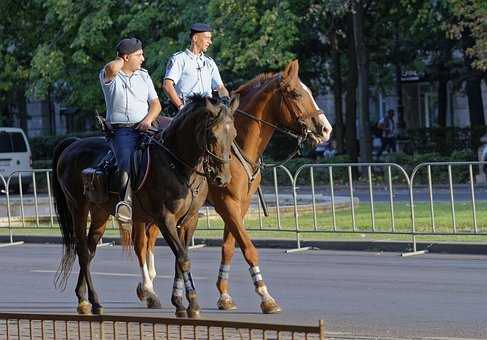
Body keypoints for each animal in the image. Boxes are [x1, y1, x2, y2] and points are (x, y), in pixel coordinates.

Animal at [51, 95, 238, 316]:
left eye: (234, 134)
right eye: (212, 135)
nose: (222, 178)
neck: (177, 164)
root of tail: (73, 144)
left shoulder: (189, 221)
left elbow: (180, 258)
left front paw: (181, 302)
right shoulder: (165, 219)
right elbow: (182, 258)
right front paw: (190, 303)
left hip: (99, 213)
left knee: (89, 250)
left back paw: (83, 299)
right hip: (78, 208)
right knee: (82, 251)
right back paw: (95, 302)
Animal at [133, 59, 332, 314]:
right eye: (296, 93)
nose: (326, 129)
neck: (237, 147)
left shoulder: (241, 205)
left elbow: (229, 246)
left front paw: (224, 295)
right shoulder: (226, 204)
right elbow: (248, 247)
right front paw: (265, 296)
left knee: (148, 240)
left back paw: (149, 285)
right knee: (141, 242)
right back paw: (148, 288)